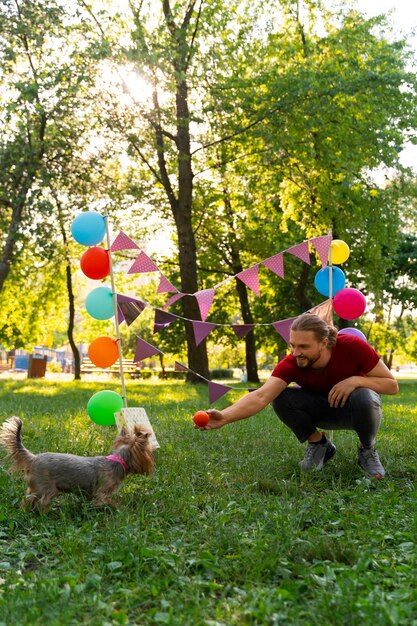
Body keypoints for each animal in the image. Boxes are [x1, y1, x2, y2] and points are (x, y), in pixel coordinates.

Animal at [0, 414, 154, 508]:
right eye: (149, 453)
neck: (117, 461)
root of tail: (32, 457)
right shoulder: (101, 493)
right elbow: (108, 502)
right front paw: (119, 508)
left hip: (36, 487)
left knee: (28, 499)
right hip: (47, 487)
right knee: (42, 501)